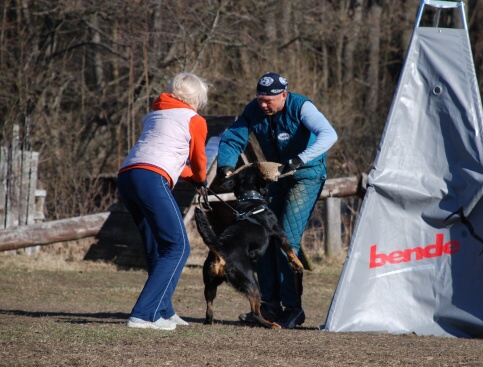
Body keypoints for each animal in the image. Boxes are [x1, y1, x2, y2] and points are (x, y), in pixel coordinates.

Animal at [196, 162, 302, 330]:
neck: (250, 199)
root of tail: (220, 249)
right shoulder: (279, 232)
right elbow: (289, 249)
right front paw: (298, 265)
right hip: (252, 284)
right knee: (256, 314)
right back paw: (271, 324)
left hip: (210, 284)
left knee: (209, 309)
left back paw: (210, 321)